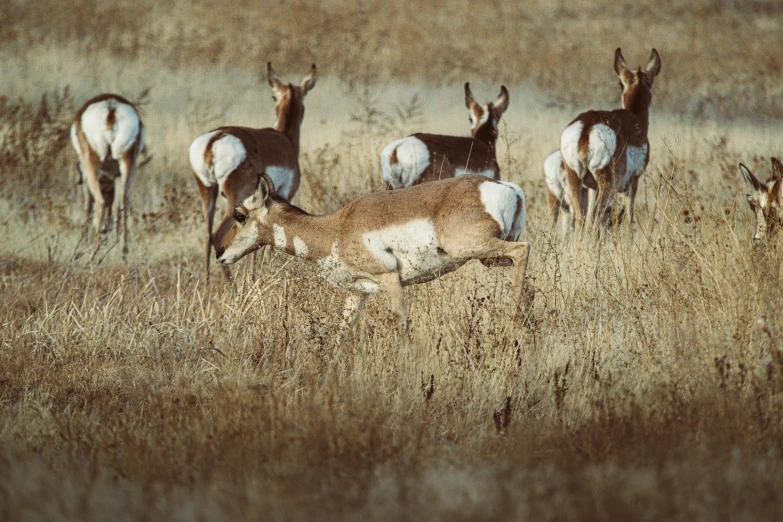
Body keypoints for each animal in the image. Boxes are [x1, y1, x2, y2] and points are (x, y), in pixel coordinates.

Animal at [70, 94, 145, 256]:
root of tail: (111, 108)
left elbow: (87, 205)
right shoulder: (116, 176)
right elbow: (115, 207)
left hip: (93, 165)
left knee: (100, 202)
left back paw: (94, 251)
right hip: (127, 165)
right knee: (123, 203)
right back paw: (122, 249)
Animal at [189, 63, 316, 278]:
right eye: (273, 96)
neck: (284, 139)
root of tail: (213, 141)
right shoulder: (282, 196)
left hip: (208, 192)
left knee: (206, 237)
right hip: (232, 198)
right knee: (216, 236)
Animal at [214, 173, 532, 332]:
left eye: (240, 215)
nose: (220, 253)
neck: (335, 227)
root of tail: (508, 188)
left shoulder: (390, 278)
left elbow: (402, 327)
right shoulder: (358, 292)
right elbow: (341, 333)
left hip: (476, 248)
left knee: (523, 250)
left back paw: (512, 320)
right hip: (490, 258)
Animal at [560, 48, 664, 232]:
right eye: (620, 83)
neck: (634, 118)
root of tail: (587, 127)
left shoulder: (592, 187)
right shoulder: (632, 183)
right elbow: (630, 220)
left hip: (575, 180)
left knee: (581, 219)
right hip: (606, 185)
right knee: (595, 219)